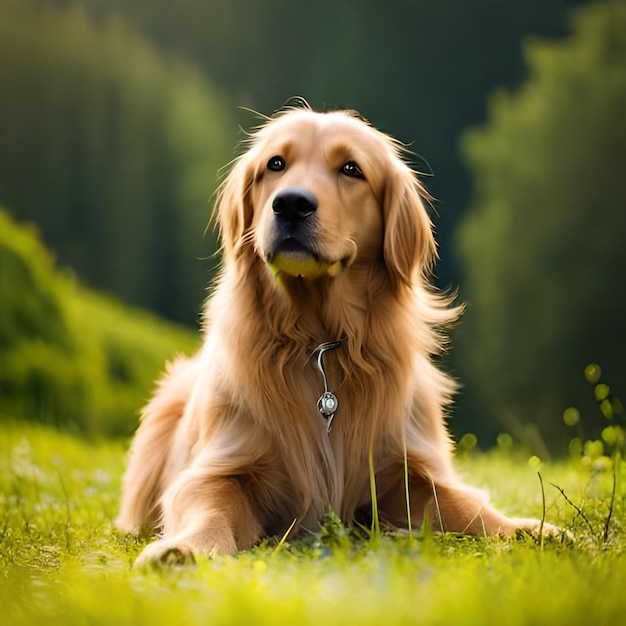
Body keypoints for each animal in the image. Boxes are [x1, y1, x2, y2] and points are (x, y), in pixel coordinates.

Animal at [114, 103, 552, 564]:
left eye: (351, 169)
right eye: (275, 164)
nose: (291, 203)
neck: (320, 341)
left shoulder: (406, 465)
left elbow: (463, 504)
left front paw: (531, 529)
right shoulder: (223, 463)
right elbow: (209, 507)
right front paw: (182, 549)